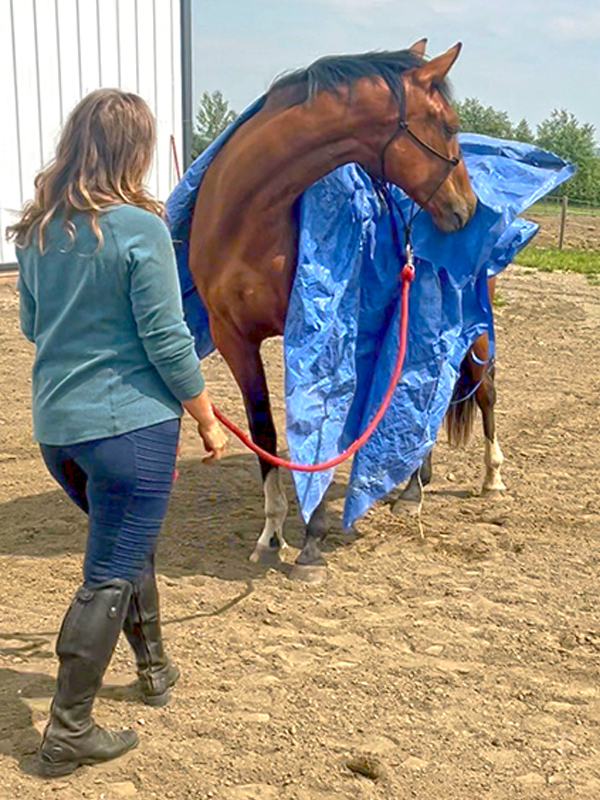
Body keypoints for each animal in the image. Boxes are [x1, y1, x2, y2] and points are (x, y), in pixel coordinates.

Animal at [188, 40, 478, 580]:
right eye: (448, 125)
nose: (466, 209)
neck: (245, 214)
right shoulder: (232, 337)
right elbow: (265, 430)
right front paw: (271, 535)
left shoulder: (315, 333)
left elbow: (315, 421)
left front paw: (312, 541)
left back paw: (423, 488)